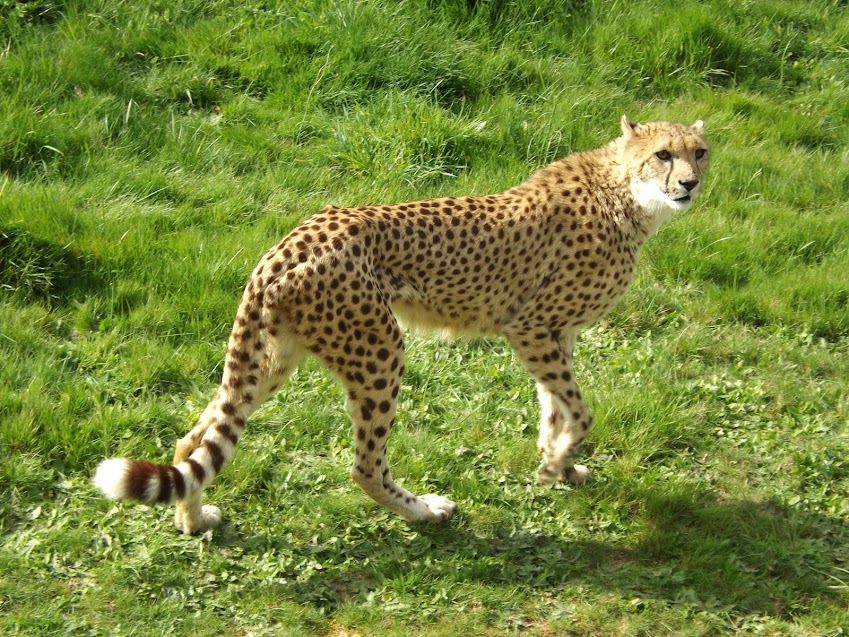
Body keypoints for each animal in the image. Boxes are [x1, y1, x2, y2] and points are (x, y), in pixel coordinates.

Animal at [94, 114, 708, 532]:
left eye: (699, 153)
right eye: (662, 155)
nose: (690, 184)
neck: (625, 191)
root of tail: (289, 243)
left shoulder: (555, 334)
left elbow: (553, 407)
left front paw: (558, 465)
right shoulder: (530, 327)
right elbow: (578, 411)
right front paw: (556, 463)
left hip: (274, 359)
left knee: (194, 438)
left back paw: (193, 521)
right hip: (379, 349)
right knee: (365, 465)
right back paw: (424, 510)